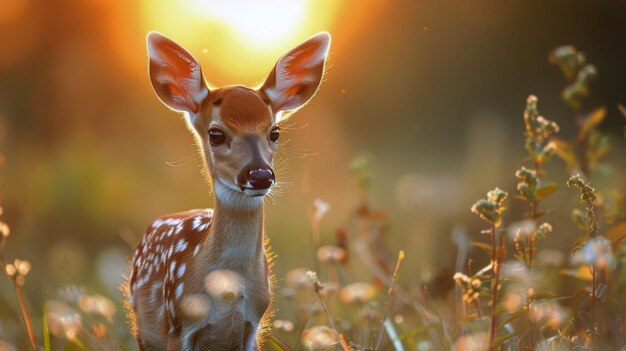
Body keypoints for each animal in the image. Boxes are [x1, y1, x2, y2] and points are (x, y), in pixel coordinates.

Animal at [127, 31, 332, 351]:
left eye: (275, 132)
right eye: (216, 134)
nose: (259, 175)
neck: (228, 292)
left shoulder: (254, 324)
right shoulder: (178, 323)